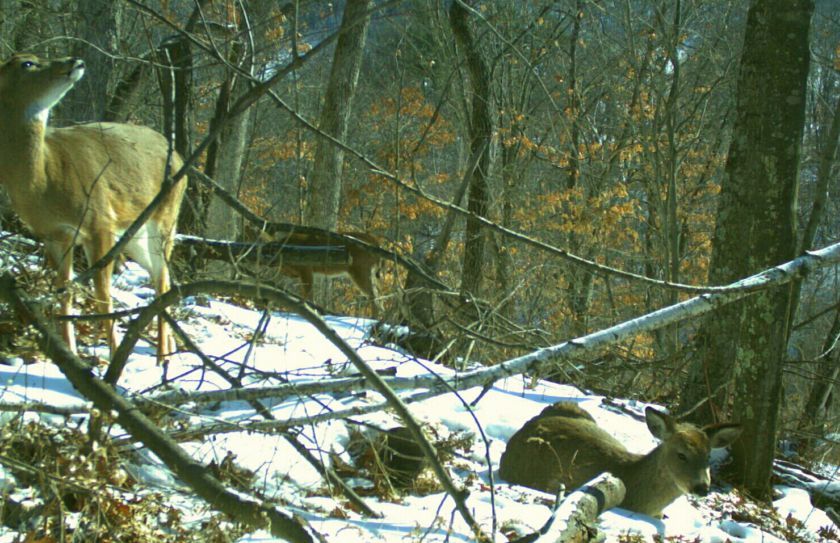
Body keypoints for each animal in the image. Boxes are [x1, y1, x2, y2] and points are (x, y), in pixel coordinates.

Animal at [0, 53, 185, 364]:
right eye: (28, 63)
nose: (74, 60)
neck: (43, 181)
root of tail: (180, 157)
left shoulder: (99, 222)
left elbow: (102, 294)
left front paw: (112, 358)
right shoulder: (54, 236)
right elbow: (64, 293)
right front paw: (69, 352)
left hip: (165, 217)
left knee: (161, 279)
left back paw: (162, 358)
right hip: (135, 235)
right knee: (164, 277)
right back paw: (169, 351)